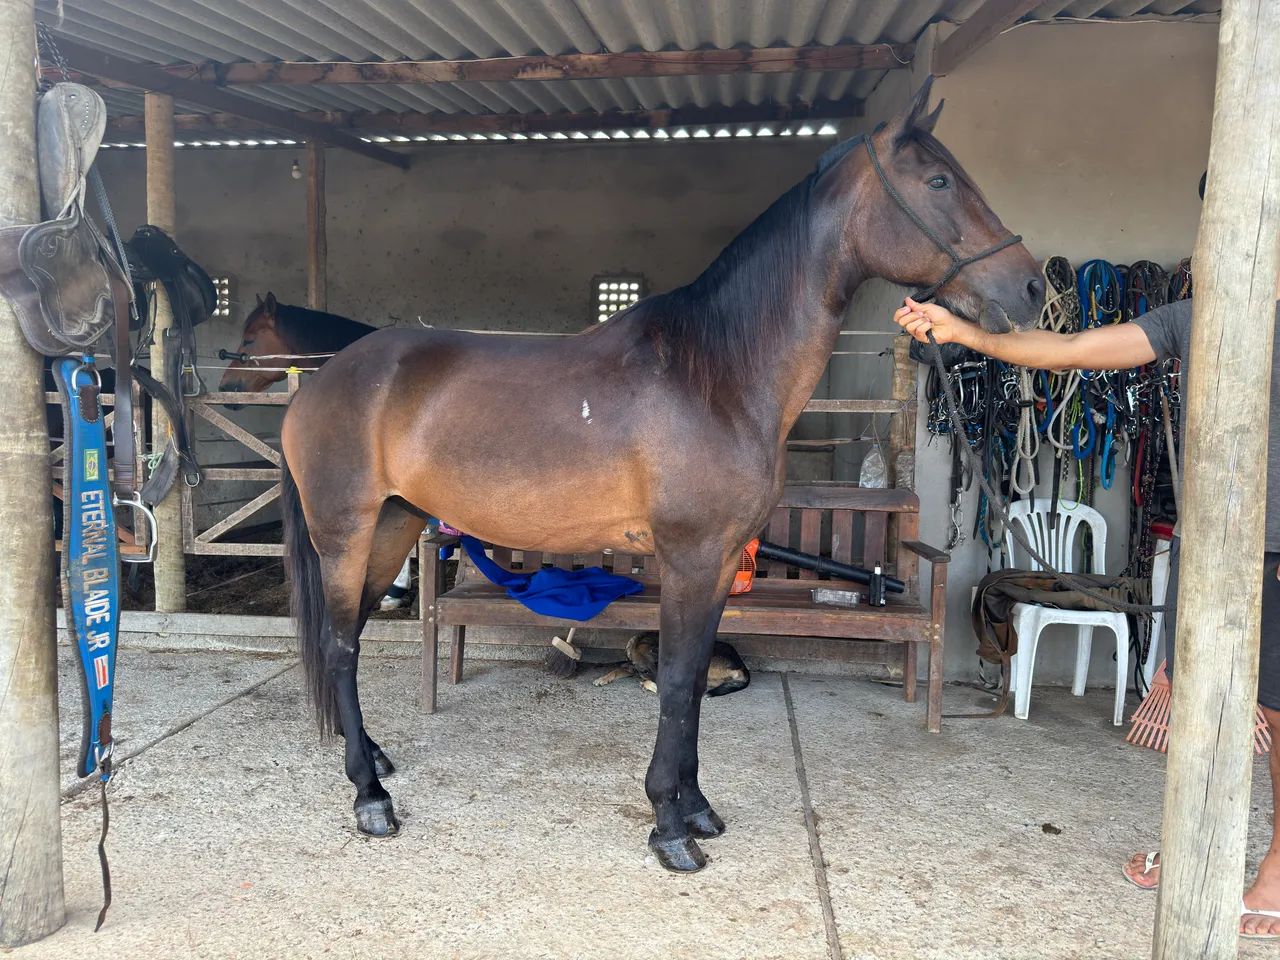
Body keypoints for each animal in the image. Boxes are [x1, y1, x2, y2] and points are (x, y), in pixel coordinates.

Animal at [278, 79, 1045, 872]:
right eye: (939, 181)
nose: (1030, 285)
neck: (718, 374)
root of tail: (319, 381)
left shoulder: (720, 564)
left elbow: (696, 681)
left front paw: (697, 807)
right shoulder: (689, 557)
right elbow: (676, 682)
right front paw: (670, 827)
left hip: (393, 525)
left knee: (351, 637)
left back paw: (374, 757)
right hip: (345, 534)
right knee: (339, 646)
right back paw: (369, 797)